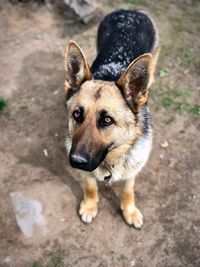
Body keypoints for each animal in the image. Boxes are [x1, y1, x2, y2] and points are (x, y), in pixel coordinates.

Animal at [64, 9, 159, 229]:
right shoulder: (86, 173)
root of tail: (131, 11)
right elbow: (90, 187)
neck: (109, 159)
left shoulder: (132, 172)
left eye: (107, 120)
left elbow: (127, 191)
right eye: (77, 115)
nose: (76, 161)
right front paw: (90, 206)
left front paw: (130, 211)